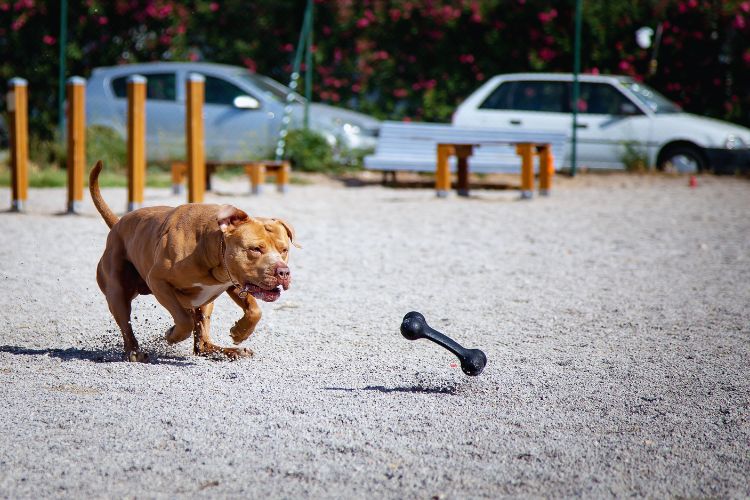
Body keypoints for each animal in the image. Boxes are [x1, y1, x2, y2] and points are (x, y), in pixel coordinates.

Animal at [89, 162, 298, 362]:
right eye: (255, 249)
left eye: (284, 250)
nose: (283, 272)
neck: (212, 247)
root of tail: (118, 224)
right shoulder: (158, 281)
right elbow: (183, 320)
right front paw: (172, 335)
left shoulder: (234, 282)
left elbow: (255, 310)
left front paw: (239, 333)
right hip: (118, 290)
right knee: (126, 321)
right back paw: (134, 351)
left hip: (205, 303)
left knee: (202, 344)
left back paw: (231, 351)